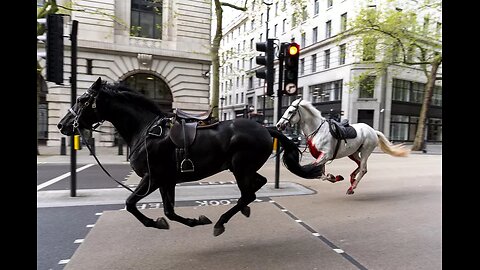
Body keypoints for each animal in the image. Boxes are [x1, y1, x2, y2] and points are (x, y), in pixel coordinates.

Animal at [57, 77, 322, 236]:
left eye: (82, 99)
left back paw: (222, 221)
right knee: (256, 186)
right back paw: (241, 210)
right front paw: (192, 220)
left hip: (240, 167)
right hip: (243, 168)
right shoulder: (166, 180)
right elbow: (169, 212)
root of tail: (265, 128)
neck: (145, 130)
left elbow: (131, 203)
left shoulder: (153, 178)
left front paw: (156, 223)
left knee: (249, 193)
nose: (62, 125)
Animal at [276, 98, 410, 195]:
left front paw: (334, 177)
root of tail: (373, 130)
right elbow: (321, 174)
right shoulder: (321, 157)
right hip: (353, 153)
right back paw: (352, 179)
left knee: (363, 169)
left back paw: (352, 187)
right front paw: (334, 177)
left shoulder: (325, 155)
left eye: (290, 111)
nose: (278, 125)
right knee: (360, 165)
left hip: (366, 151)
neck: (317, 130)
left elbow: (312, 170)